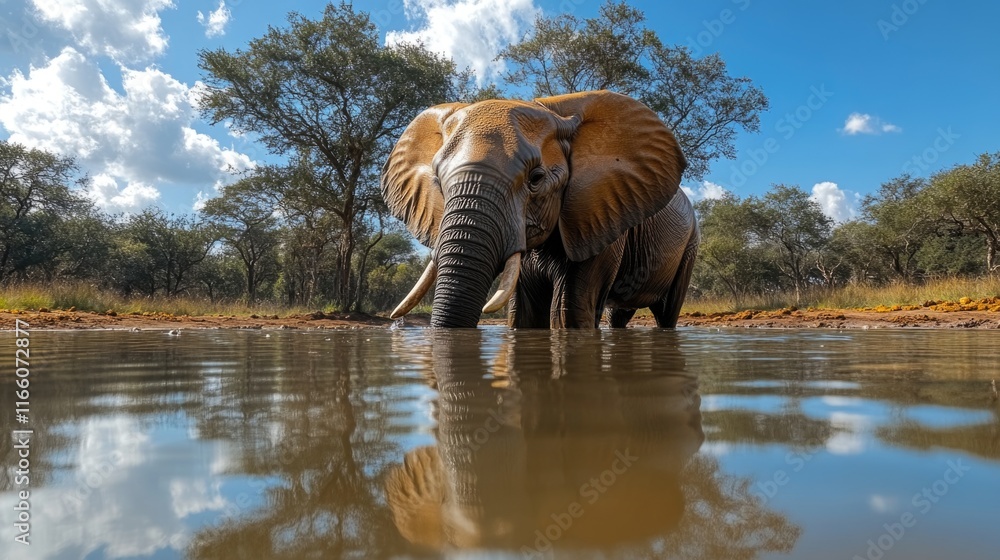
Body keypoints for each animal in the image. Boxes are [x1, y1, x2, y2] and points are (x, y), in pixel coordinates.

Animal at [382, 90, 698, 328]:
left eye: (536, 178)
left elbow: (567, 313)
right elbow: (525, 315)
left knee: (667, 314)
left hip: (690, 245)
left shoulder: (599, 218)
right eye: (438, 181)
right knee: (618, 315)